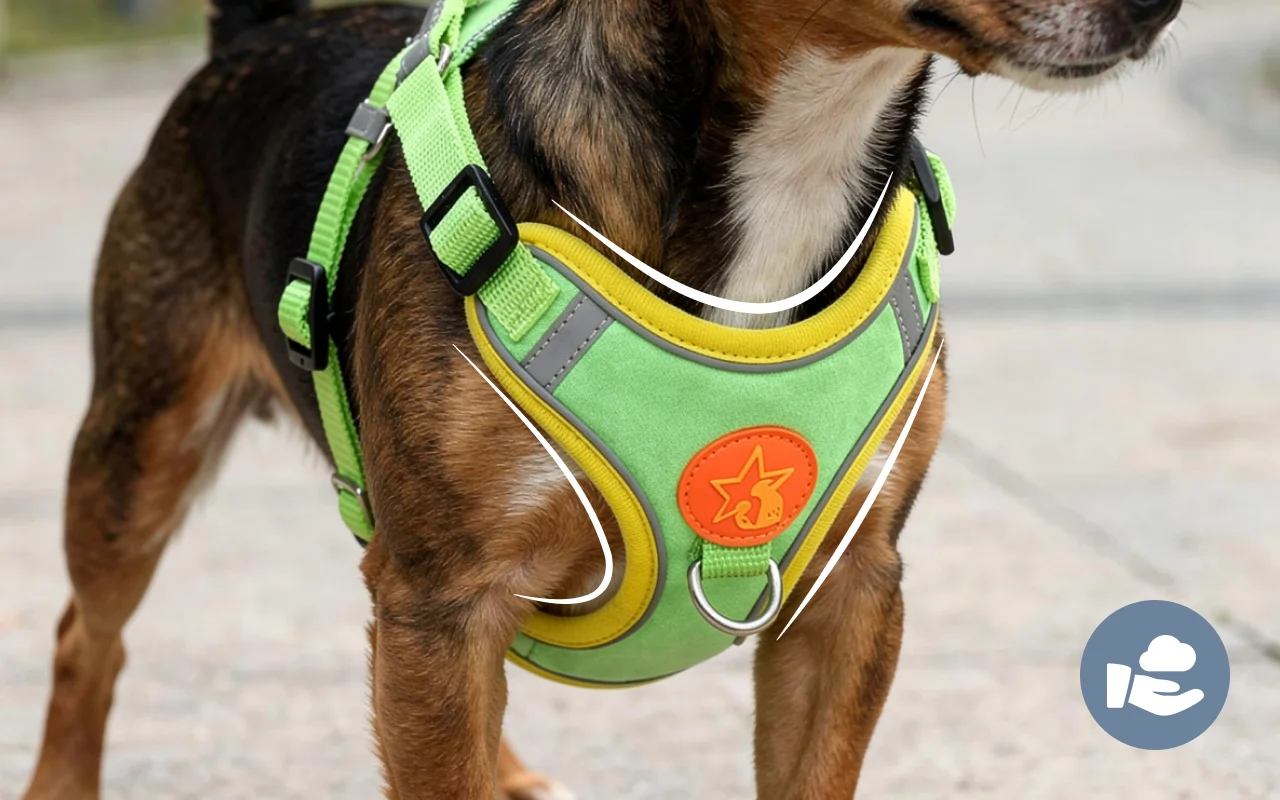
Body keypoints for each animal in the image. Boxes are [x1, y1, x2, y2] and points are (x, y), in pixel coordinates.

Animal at [21, 0, 1180, 797]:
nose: (1160, 4)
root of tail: (250, 36)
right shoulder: (441, 591)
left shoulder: (848, 593)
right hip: (140, 455)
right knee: (88, 636)